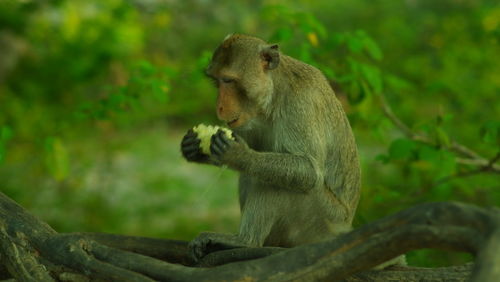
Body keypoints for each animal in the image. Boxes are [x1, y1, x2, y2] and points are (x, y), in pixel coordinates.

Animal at [182, 34, 362, 262]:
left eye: (228, 81)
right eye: (216, 81)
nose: (219, 107)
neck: (274, 96)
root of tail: (343, 229)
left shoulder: (301, 104)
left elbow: (309, 171)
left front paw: (239, 155)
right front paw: (194, 147)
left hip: (322, 221)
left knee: (279, 182)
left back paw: (245, 241)